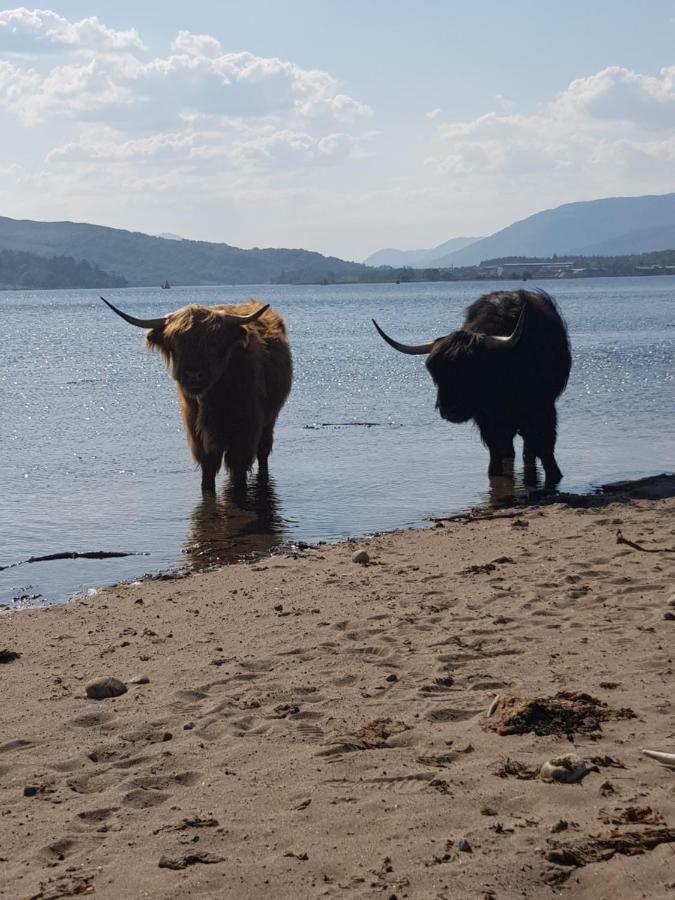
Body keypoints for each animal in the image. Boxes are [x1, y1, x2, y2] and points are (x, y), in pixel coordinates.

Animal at [372, 290, 572, 488]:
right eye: (434, 373)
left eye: (473, 369)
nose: (450, 410)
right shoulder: (485, 417)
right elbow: (496, 450)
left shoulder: (540, 407)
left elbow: (544, 445)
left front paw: (555, 475)